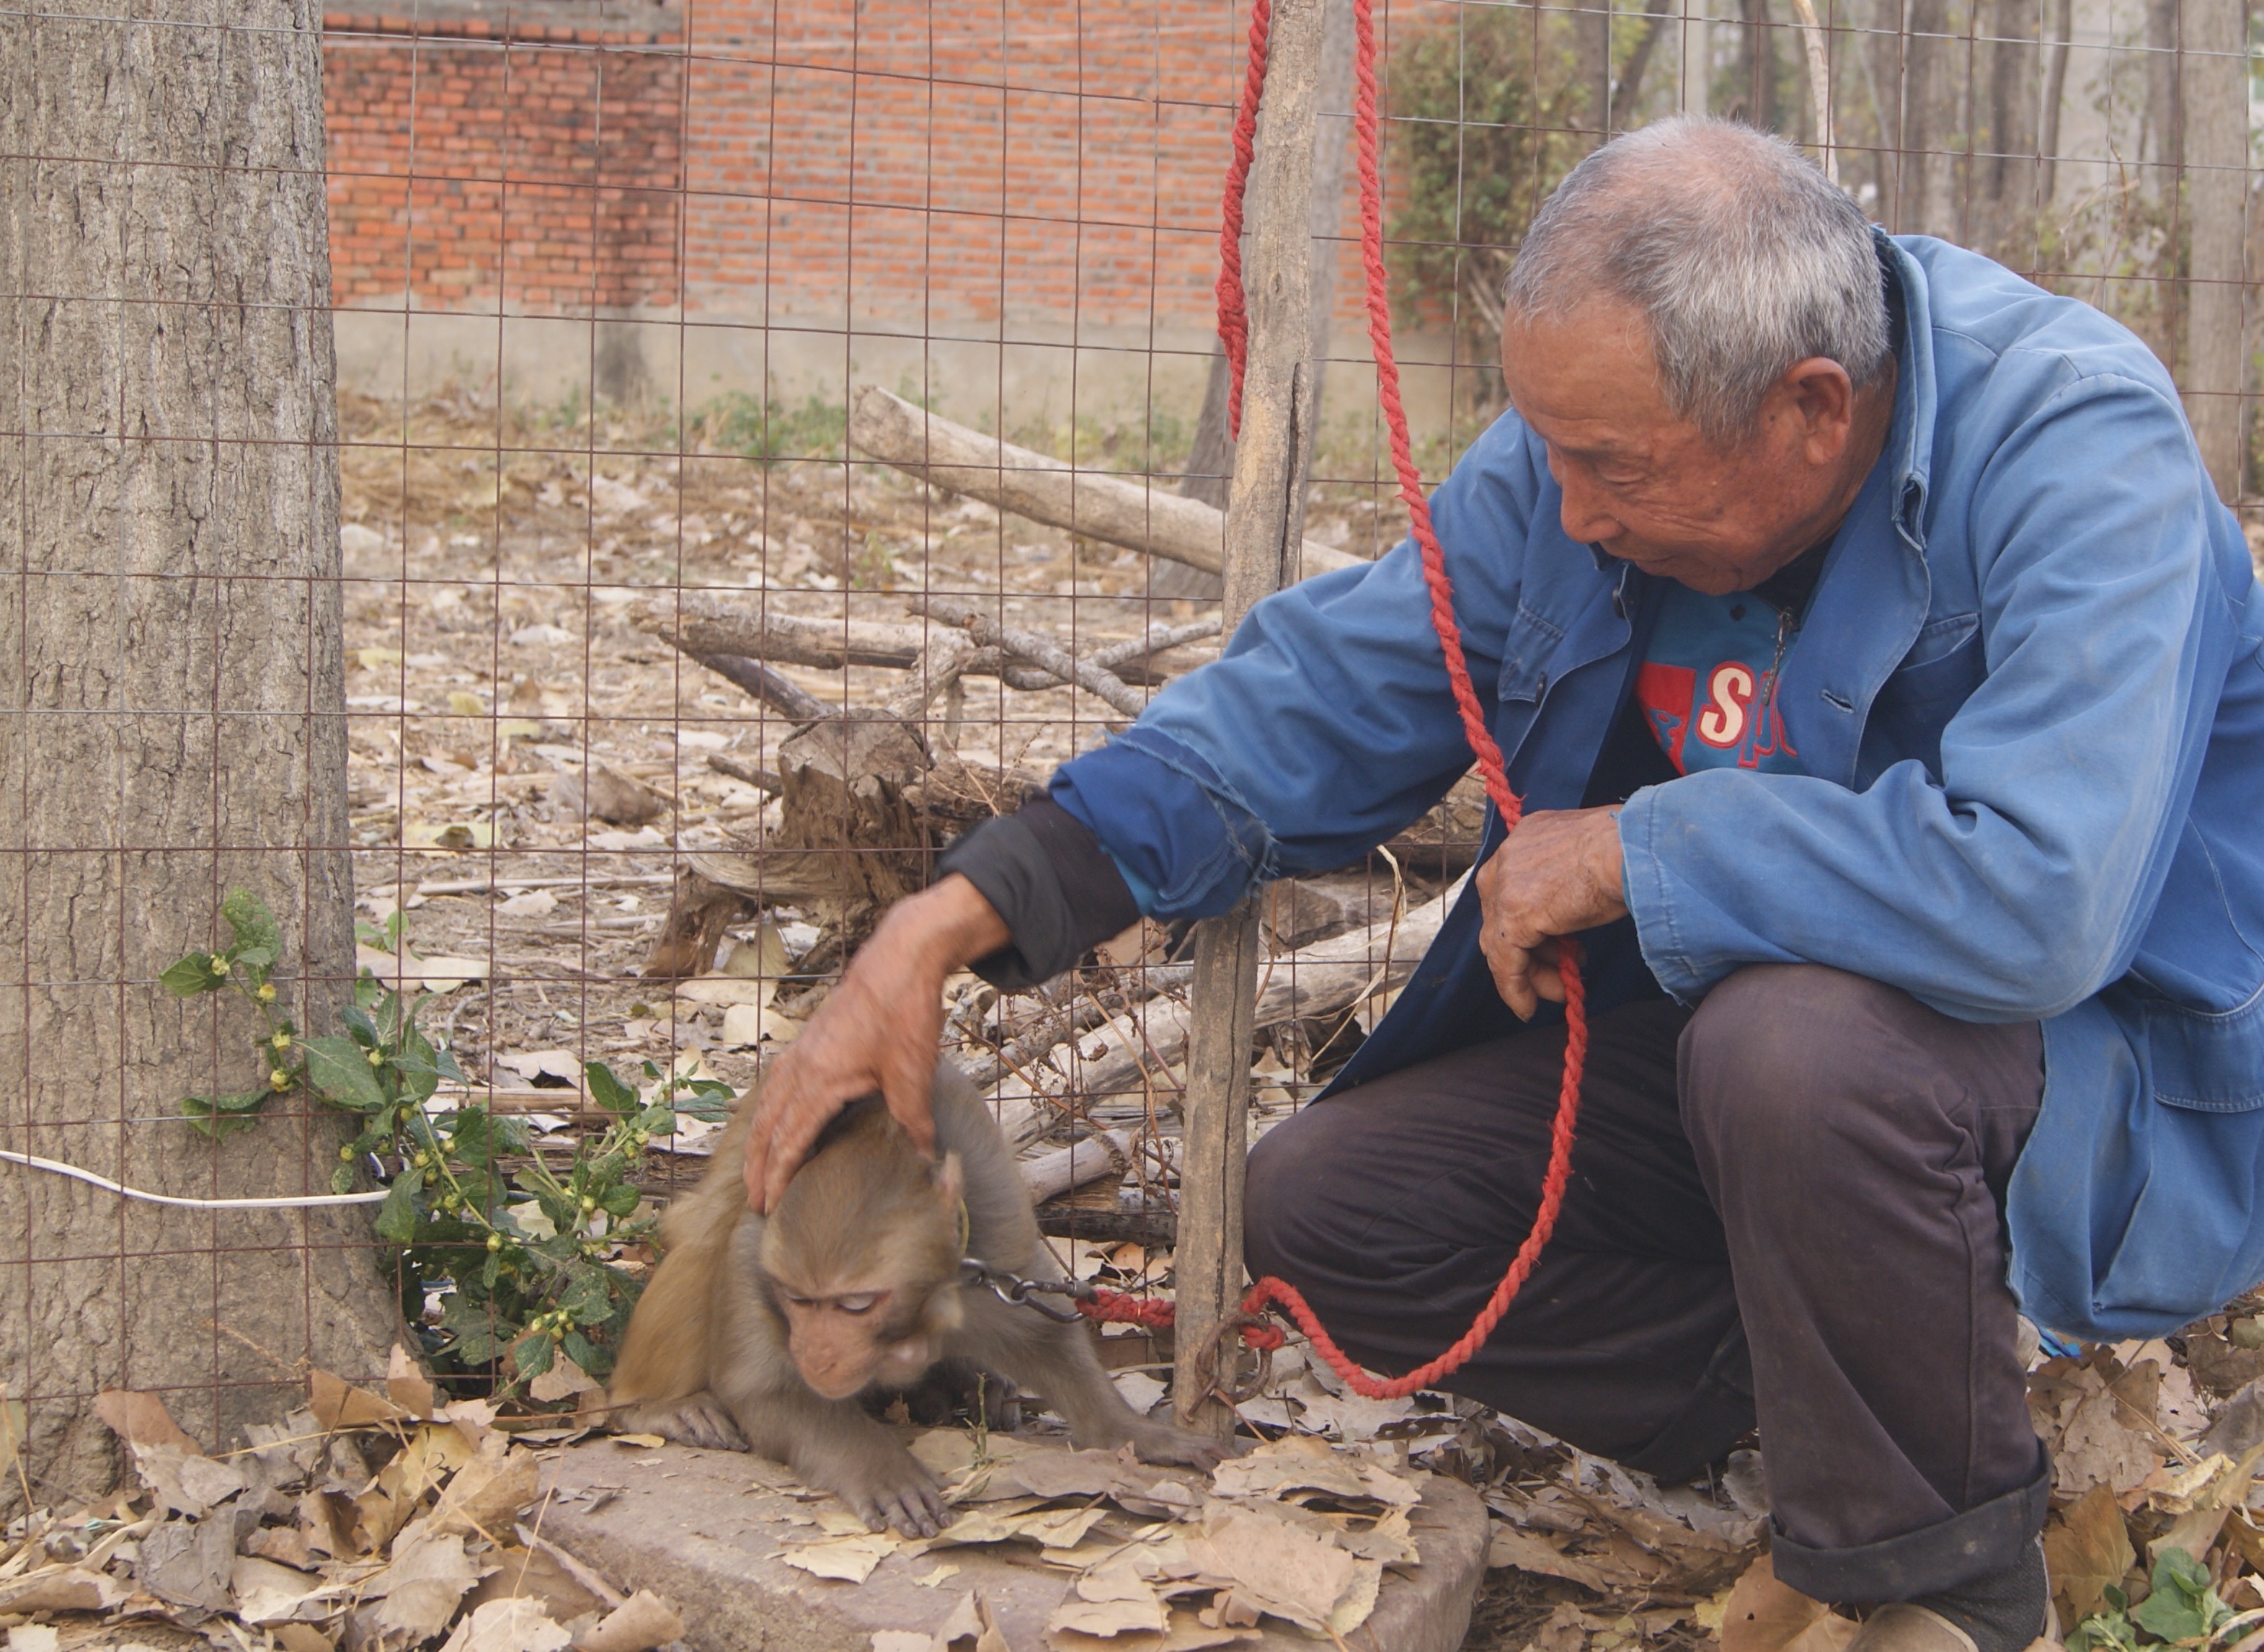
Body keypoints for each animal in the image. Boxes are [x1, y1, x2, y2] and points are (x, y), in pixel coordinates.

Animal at [611, 1054, 1231, 1529]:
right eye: (798, 1300)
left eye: (856, 1305)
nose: (816, 1353)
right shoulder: (755, 1249)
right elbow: (767, 1390)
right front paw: (881, 1468)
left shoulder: (994, 1235)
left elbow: (1041, 1336)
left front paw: (1134, 1434)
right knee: (703, 1236)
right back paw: (656, 1408)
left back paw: (968, 1390)